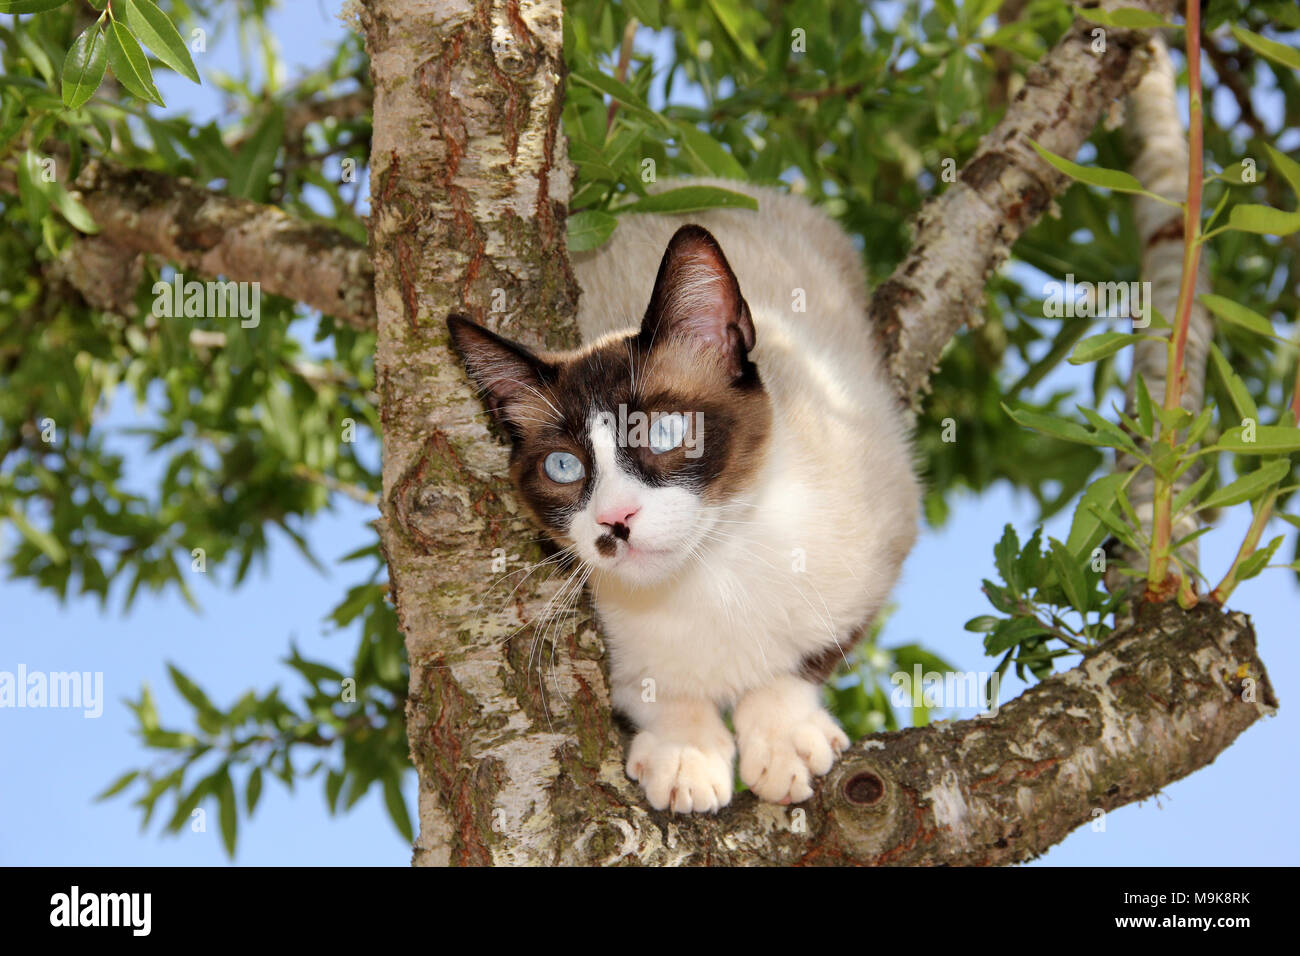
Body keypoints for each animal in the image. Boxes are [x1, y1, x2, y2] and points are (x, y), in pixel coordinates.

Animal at [452, 179, 920, 816]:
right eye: (563, 466)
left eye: (665, 433)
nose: (615, 520)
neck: (707, 573)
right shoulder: (617, 655)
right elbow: (658, 694)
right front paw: (686, 758)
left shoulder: (881, 551)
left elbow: (794, 669)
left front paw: (783, 745)